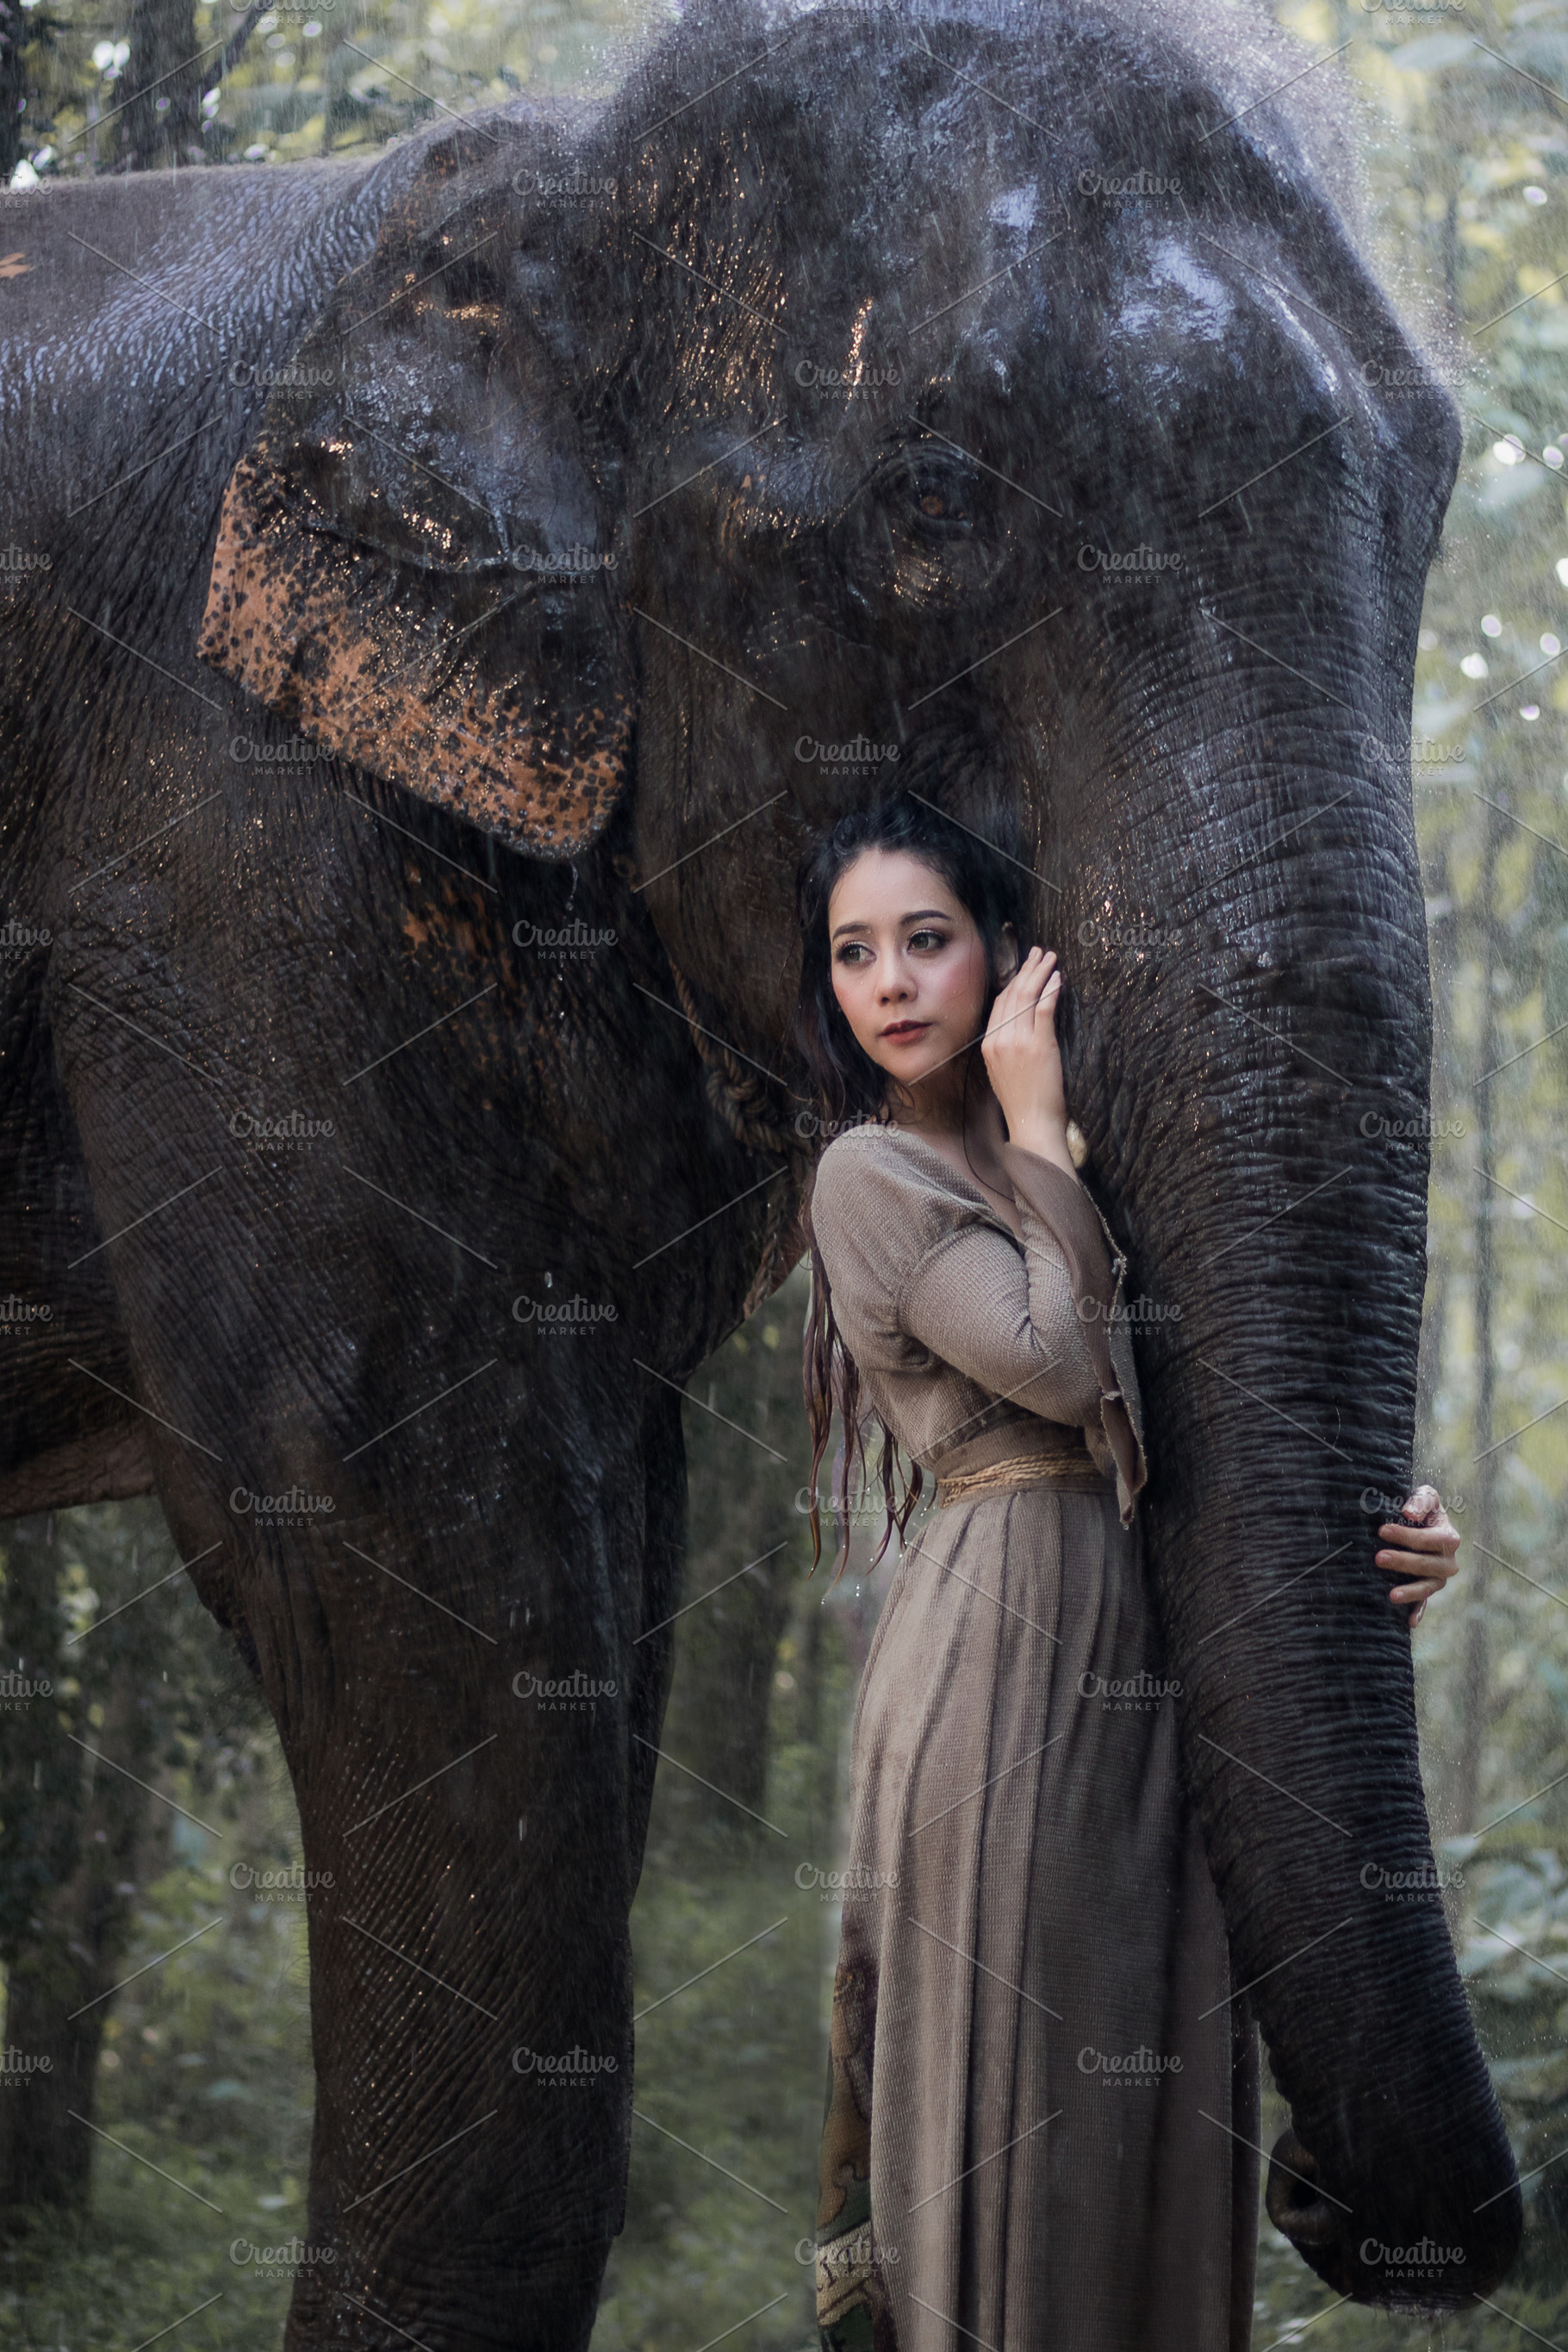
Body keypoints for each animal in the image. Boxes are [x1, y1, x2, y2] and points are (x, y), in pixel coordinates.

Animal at [0, 0, 1522, 2343]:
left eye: (1434, 489)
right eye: (933, 503)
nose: (1340, 2215)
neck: (544, 175)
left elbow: (608, 1532)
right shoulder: (222, 840)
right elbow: (413, 1532)